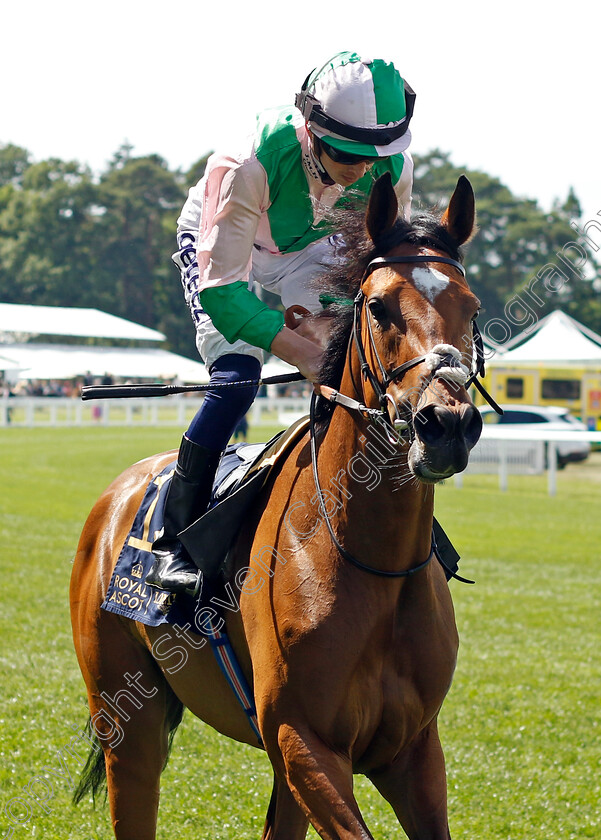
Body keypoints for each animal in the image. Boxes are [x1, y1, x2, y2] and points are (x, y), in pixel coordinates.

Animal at [70, 172, 482, 840]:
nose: (445, 425)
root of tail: (120, 491)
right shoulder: (303, 739)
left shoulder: (412, 750)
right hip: (127, 720)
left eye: (470, 308)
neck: (372, 561)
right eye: (379, 307)